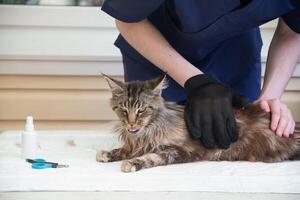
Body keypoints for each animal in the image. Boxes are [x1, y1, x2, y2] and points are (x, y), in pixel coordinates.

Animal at [96, 74, 300, 172]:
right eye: (123, 110)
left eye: (142, 110)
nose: (131, 124)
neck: (146, 132)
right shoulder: (136, 143)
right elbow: (125, 149)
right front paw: (108, 153)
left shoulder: (181, 150)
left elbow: (152, 157)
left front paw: (132, 163)